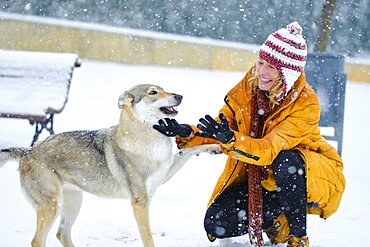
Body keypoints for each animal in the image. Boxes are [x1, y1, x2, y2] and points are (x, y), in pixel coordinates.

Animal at [0, 84, 220, 246]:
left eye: (163, 88)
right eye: (152, 92)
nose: (180, 96)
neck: (149, 139)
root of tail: (28, 151)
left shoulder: (164, 173)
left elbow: (190, 150)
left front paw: (216, 145)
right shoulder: (140, 202)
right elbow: (148, 238)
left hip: (74, 202)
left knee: (62, 234)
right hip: (52, 206)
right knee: (37, 240)